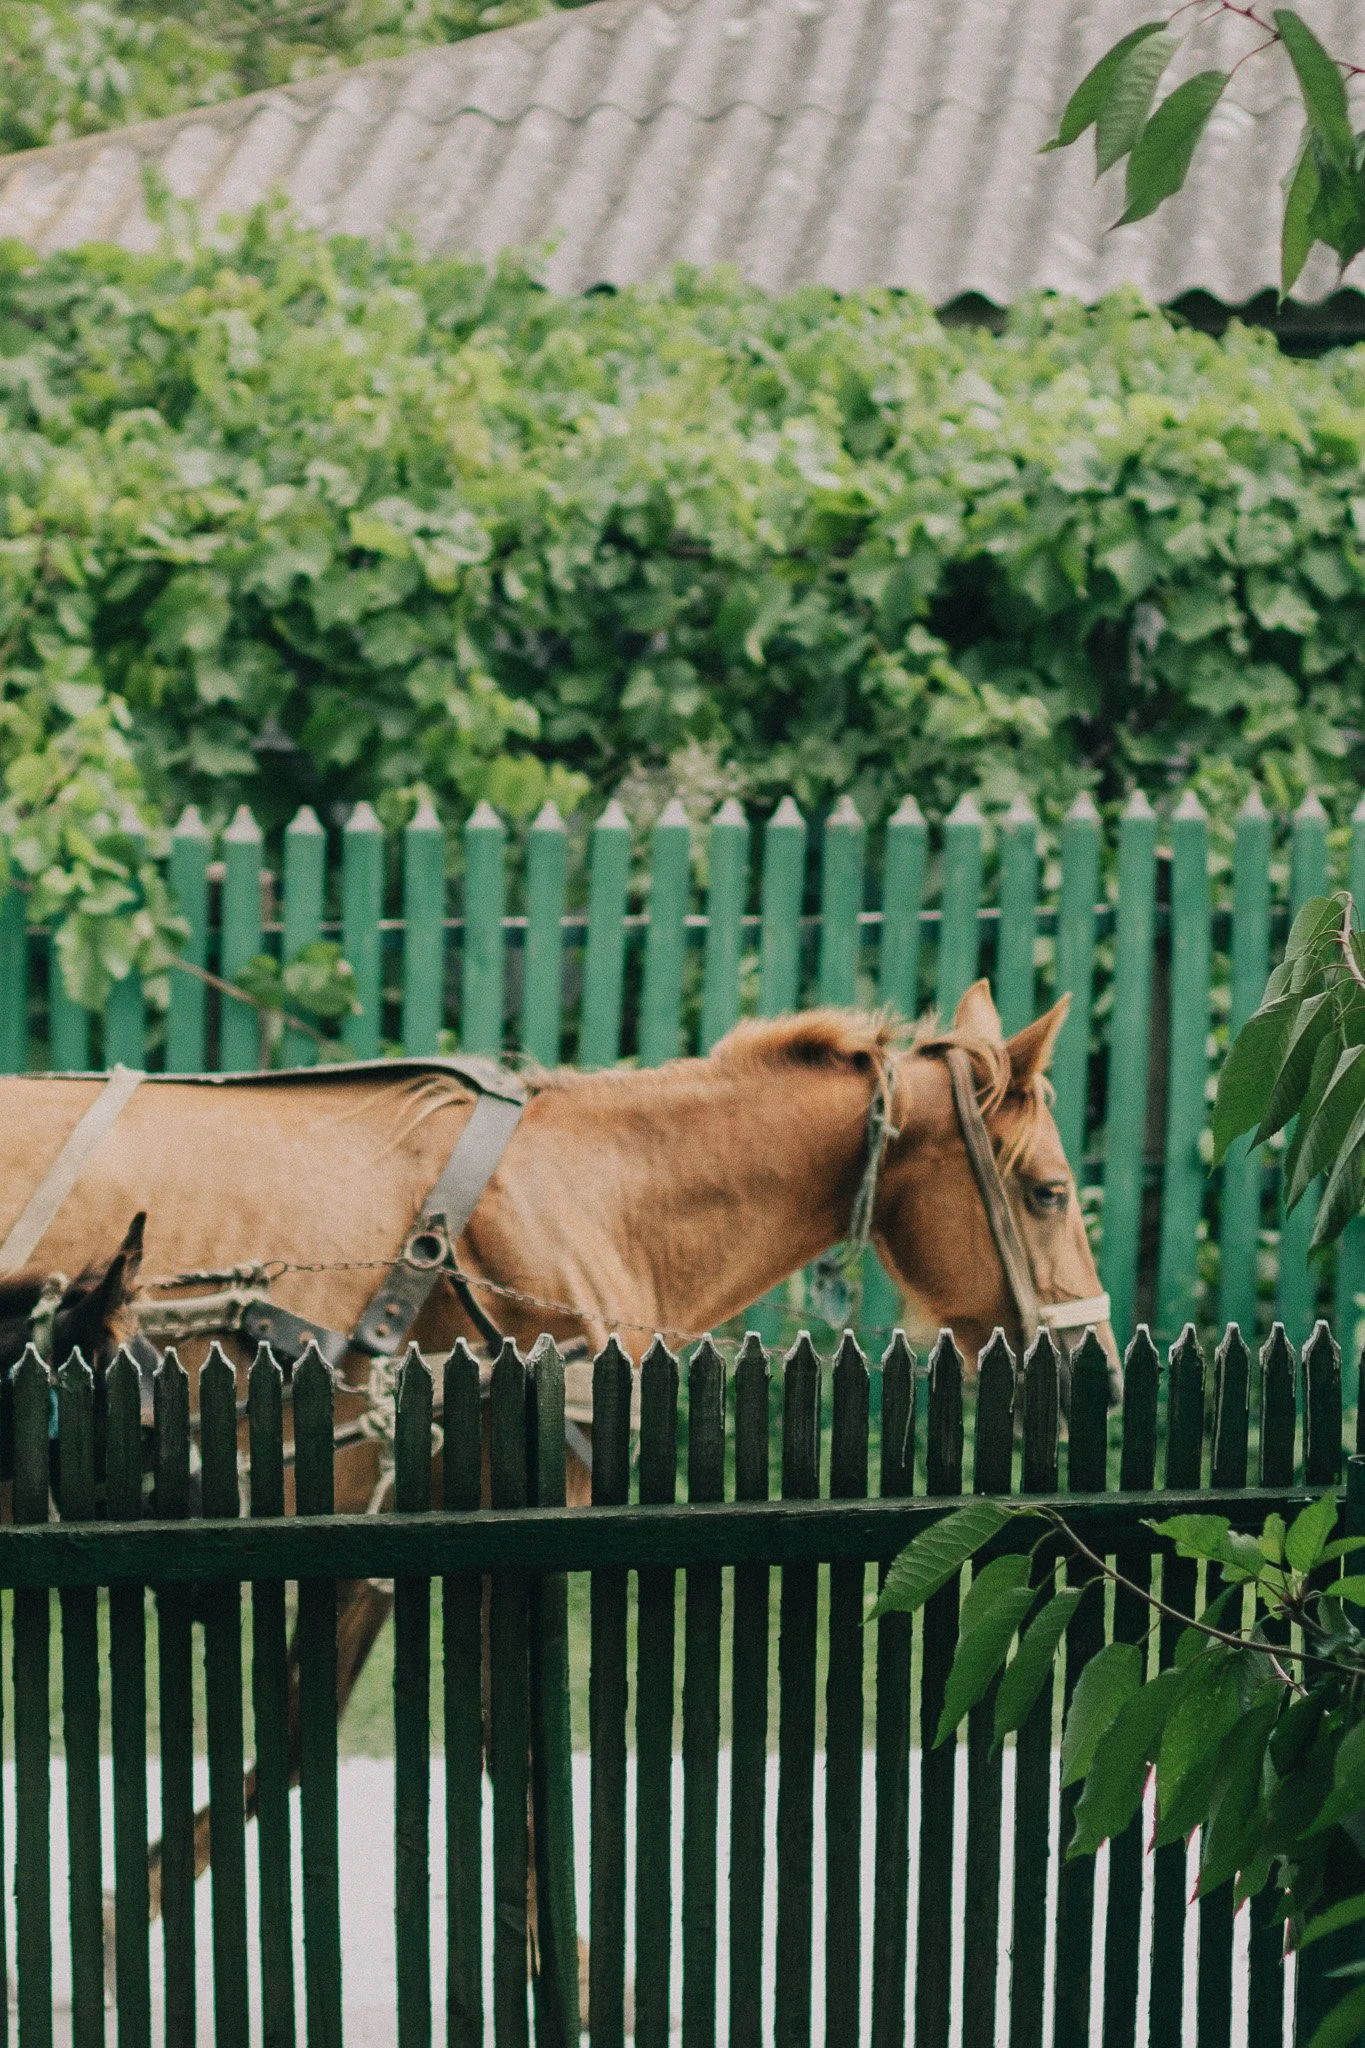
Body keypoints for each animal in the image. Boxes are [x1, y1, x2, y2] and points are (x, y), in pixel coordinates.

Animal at [0, 979, 1115, 1960]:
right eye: (1049, 1193)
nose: (1091, 1355)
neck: (591, 1197)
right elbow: (506, 1743)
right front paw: (565, 1961)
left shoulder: (389, 1522)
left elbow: (303, 1733)